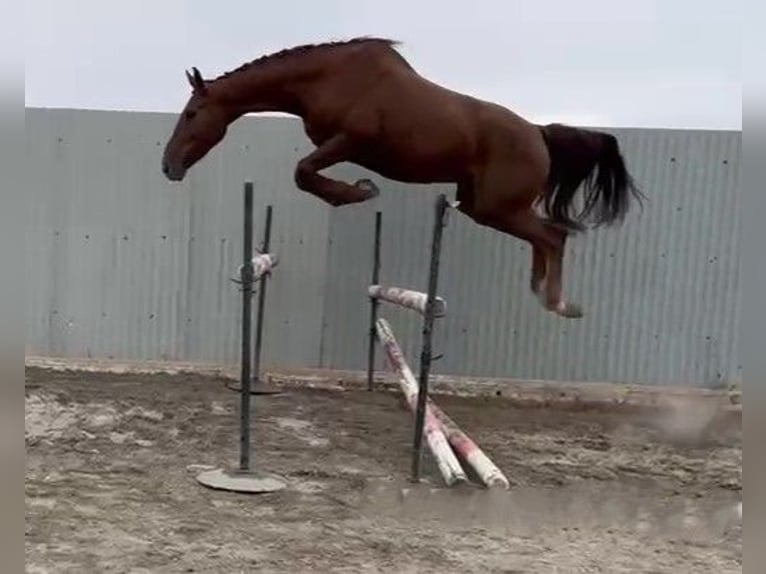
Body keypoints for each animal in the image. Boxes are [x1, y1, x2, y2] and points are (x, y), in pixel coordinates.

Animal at [162, 36, 644, 319]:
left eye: (192, 113)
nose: (168, 165)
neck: (327, 76)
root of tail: (539, 133)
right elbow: (305, 172)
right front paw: (357, 189)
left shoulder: (349, 140)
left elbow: (303, 172)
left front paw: (358, 191)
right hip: (480, 207)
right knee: (546, 236)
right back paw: (540, 288)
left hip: (498, 207)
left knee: (554, 235)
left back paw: (558, 302)